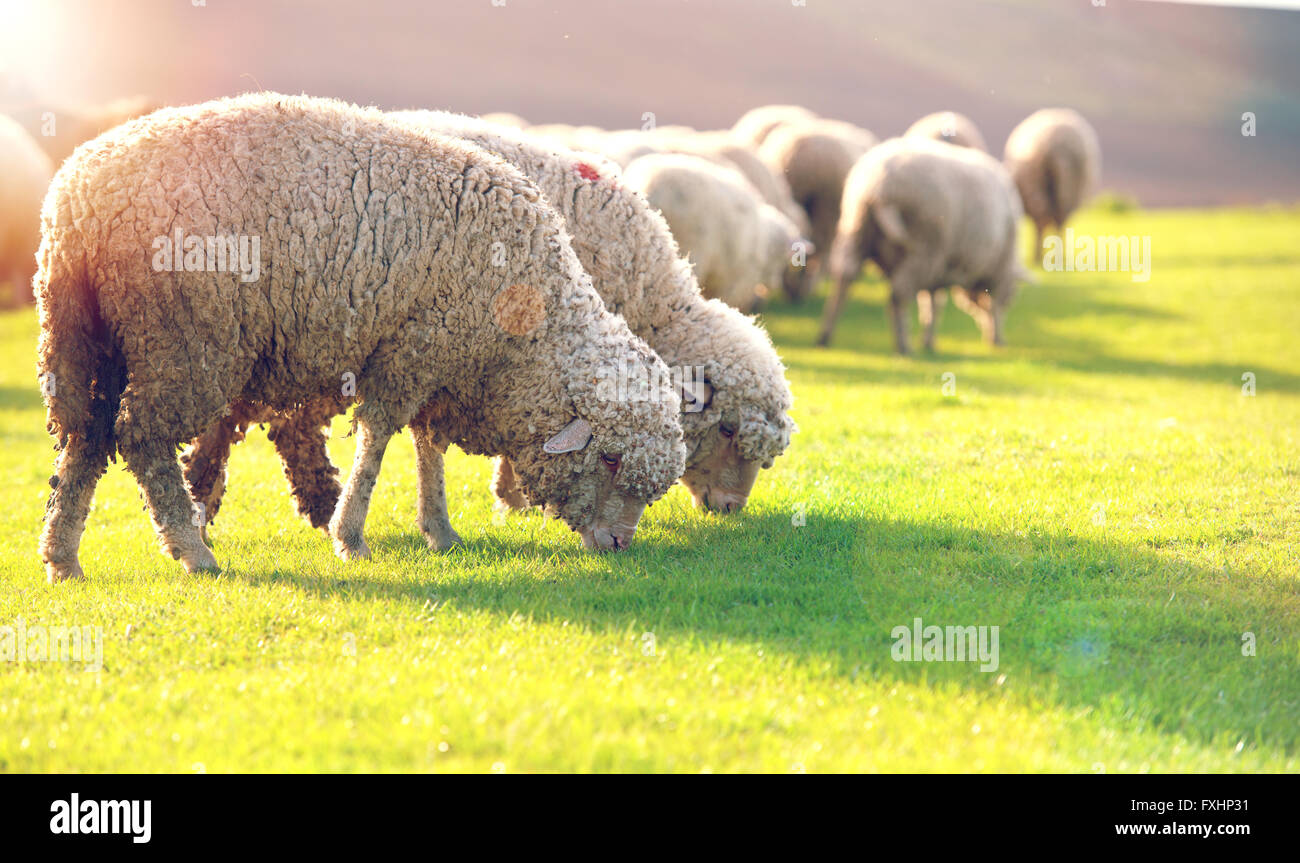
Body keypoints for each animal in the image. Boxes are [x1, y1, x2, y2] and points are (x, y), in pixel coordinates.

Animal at [35, 93, 687, 582]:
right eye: (609, 457)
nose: (617, 544)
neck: (525, 332)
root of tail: (73, 201)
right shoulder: (416, 345)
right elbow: (379, 441)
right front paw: (351, 537)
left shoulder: (439, 358)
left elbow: (427, 445)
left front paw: (438, 529)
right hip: (185, 339)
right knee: (140, 436)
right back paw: (190, 550)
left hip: (94, 339)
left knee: (87, 439)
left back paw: (63, 557)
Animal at [817, 137, 1026, 354]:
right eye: (1013, 295)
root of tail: (878, 186)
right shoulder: (997, 273)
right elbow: (993, 307)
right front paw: (997, 339)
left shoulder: (938, 272)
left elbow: (933, 305)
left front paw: (929, 342)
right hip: (922, 248)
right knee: (898, 296)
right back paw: (903, 346)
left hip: (855, 230)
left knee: (843, 281)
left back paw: (824, 336)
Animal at [1003, 108, 1101, 259]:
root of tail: (1061, 148)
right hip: (1071, 189)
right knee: (1062, 221)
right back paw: (1059, 253)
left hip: (1037, 183)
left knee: (1042, 219)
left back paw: (1038, 255)